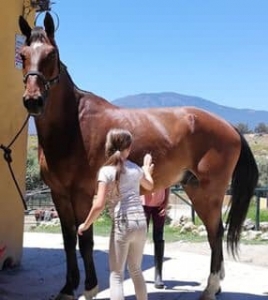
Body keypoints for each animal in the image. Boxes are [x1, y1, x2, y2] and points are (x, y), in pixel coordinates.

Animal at [18, 12, 258, 300]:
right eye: (22, 55)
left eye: (51, 54)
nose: (33, 100)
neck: (74, 125)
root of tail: (229, 126)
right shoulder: (59, 195)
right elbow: (68, 240)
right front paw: (67, 288)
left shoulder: (83, 194)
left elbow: (85, 240)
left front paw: (90, 287)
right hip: (195, 188)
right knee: (216, 235)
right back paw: (218, 284)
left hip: (208, 192)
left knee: (215, 233)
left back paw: (210, 289)